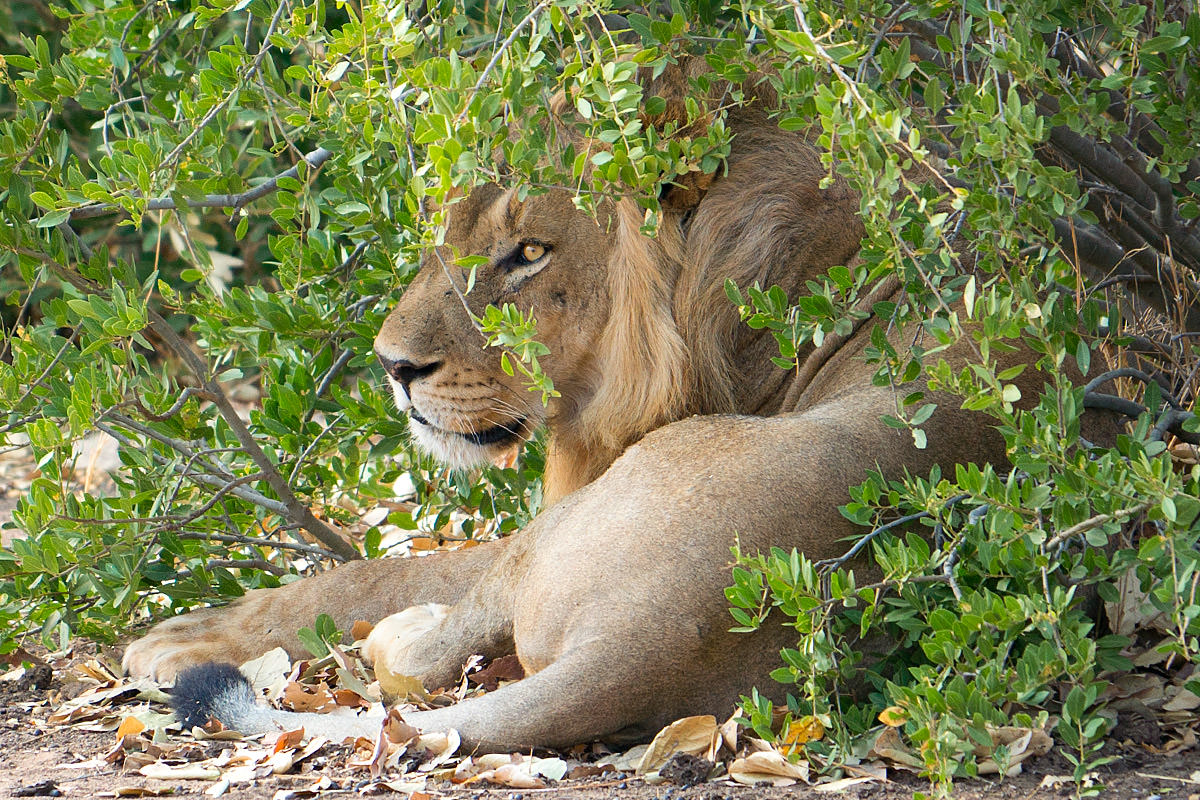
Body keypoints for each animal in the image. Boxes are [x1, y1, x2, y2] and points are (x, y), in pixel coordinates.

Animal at [119, 61, 1113, 753]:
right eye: (447, 232)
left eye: (528, 253)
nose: (393, 367)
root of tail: (637, 649)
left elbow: (375, 571)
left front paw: (183, 633)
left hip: (583, 522)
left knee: (430, 638)